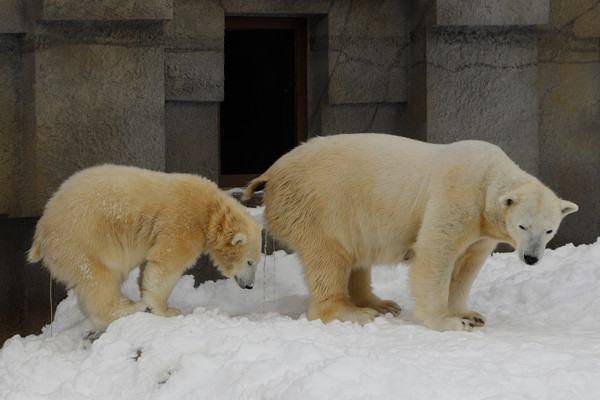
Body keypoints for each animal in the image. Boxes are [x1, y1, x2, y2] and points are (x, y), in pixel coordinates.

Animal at [28, 164, 262, 330]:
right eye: (250, 262)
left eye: (256, 262)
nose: (250, 286)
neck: (211, 212)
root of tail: (42, 231)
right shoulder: (183, 223)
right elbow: (167, 264)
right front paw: (167, 310)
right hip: (82, 239)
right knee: (98, 278)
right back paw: (130, 307)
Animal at [243, 134, 576, 332]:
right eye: (523, 226)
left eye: (549, 230)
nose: (531, 258)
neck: (488, 175)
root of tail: (272, 173)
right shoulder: (457, 195)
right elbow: (435, 253)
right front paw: (449, 321)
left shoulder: (482, 230)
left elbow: (467, 266)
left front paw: (470, 314)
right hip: (320, 203)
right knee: (329, 256)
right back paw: (352, 312)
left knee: (354, 256)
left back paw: (379, 304)